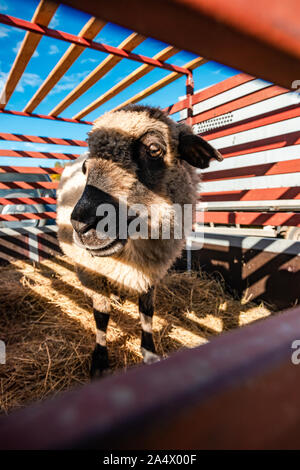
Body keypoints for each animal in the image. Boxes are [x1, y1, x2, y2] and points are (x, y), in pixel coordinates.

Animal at [56, 104, 223, 376]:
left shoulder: (151, 271)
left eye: (154, 149)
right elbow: (101, 315)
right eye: (86, 168)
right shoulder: (92, 270)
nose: (82, 225)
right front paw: (100, 359)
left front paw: (149, 352)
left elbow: (147, 313)